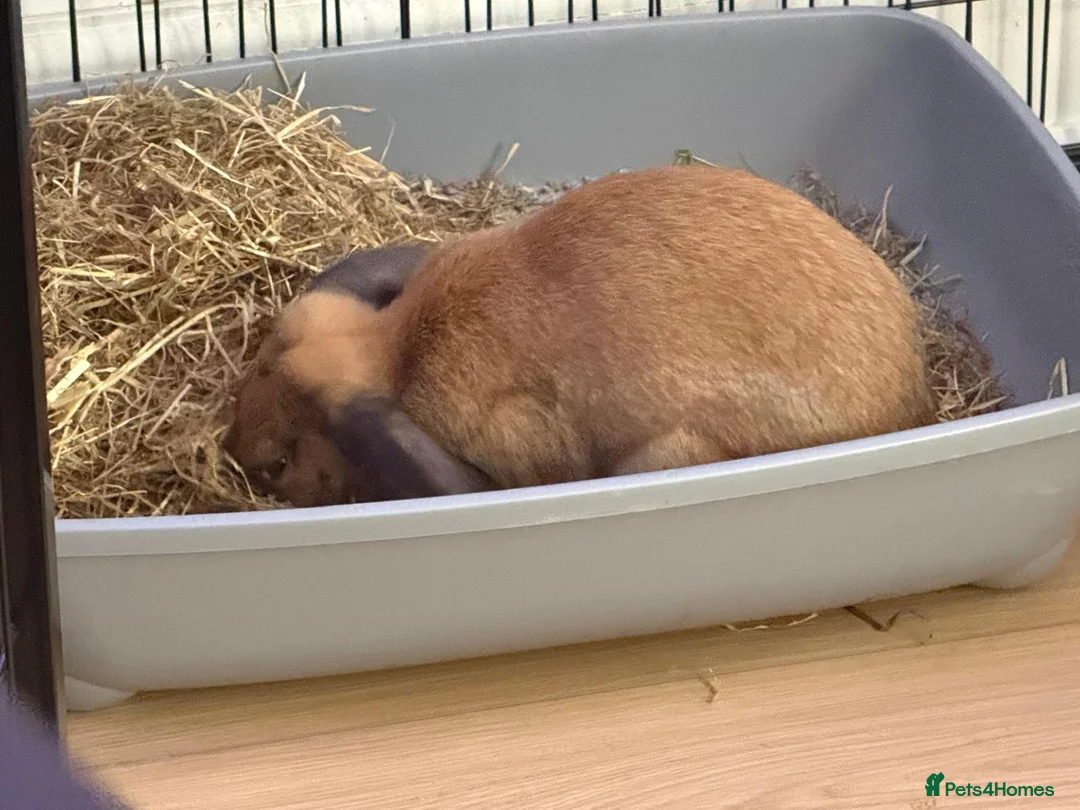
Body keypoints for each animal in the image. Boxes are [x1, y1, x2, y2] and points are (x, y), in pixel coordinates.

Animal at [224, 164, 937, 508]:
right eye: (256, 364)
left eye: (282, 461)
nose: (233, 453)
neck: (398, 351)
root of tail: (910, 399)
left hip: (669, 450)